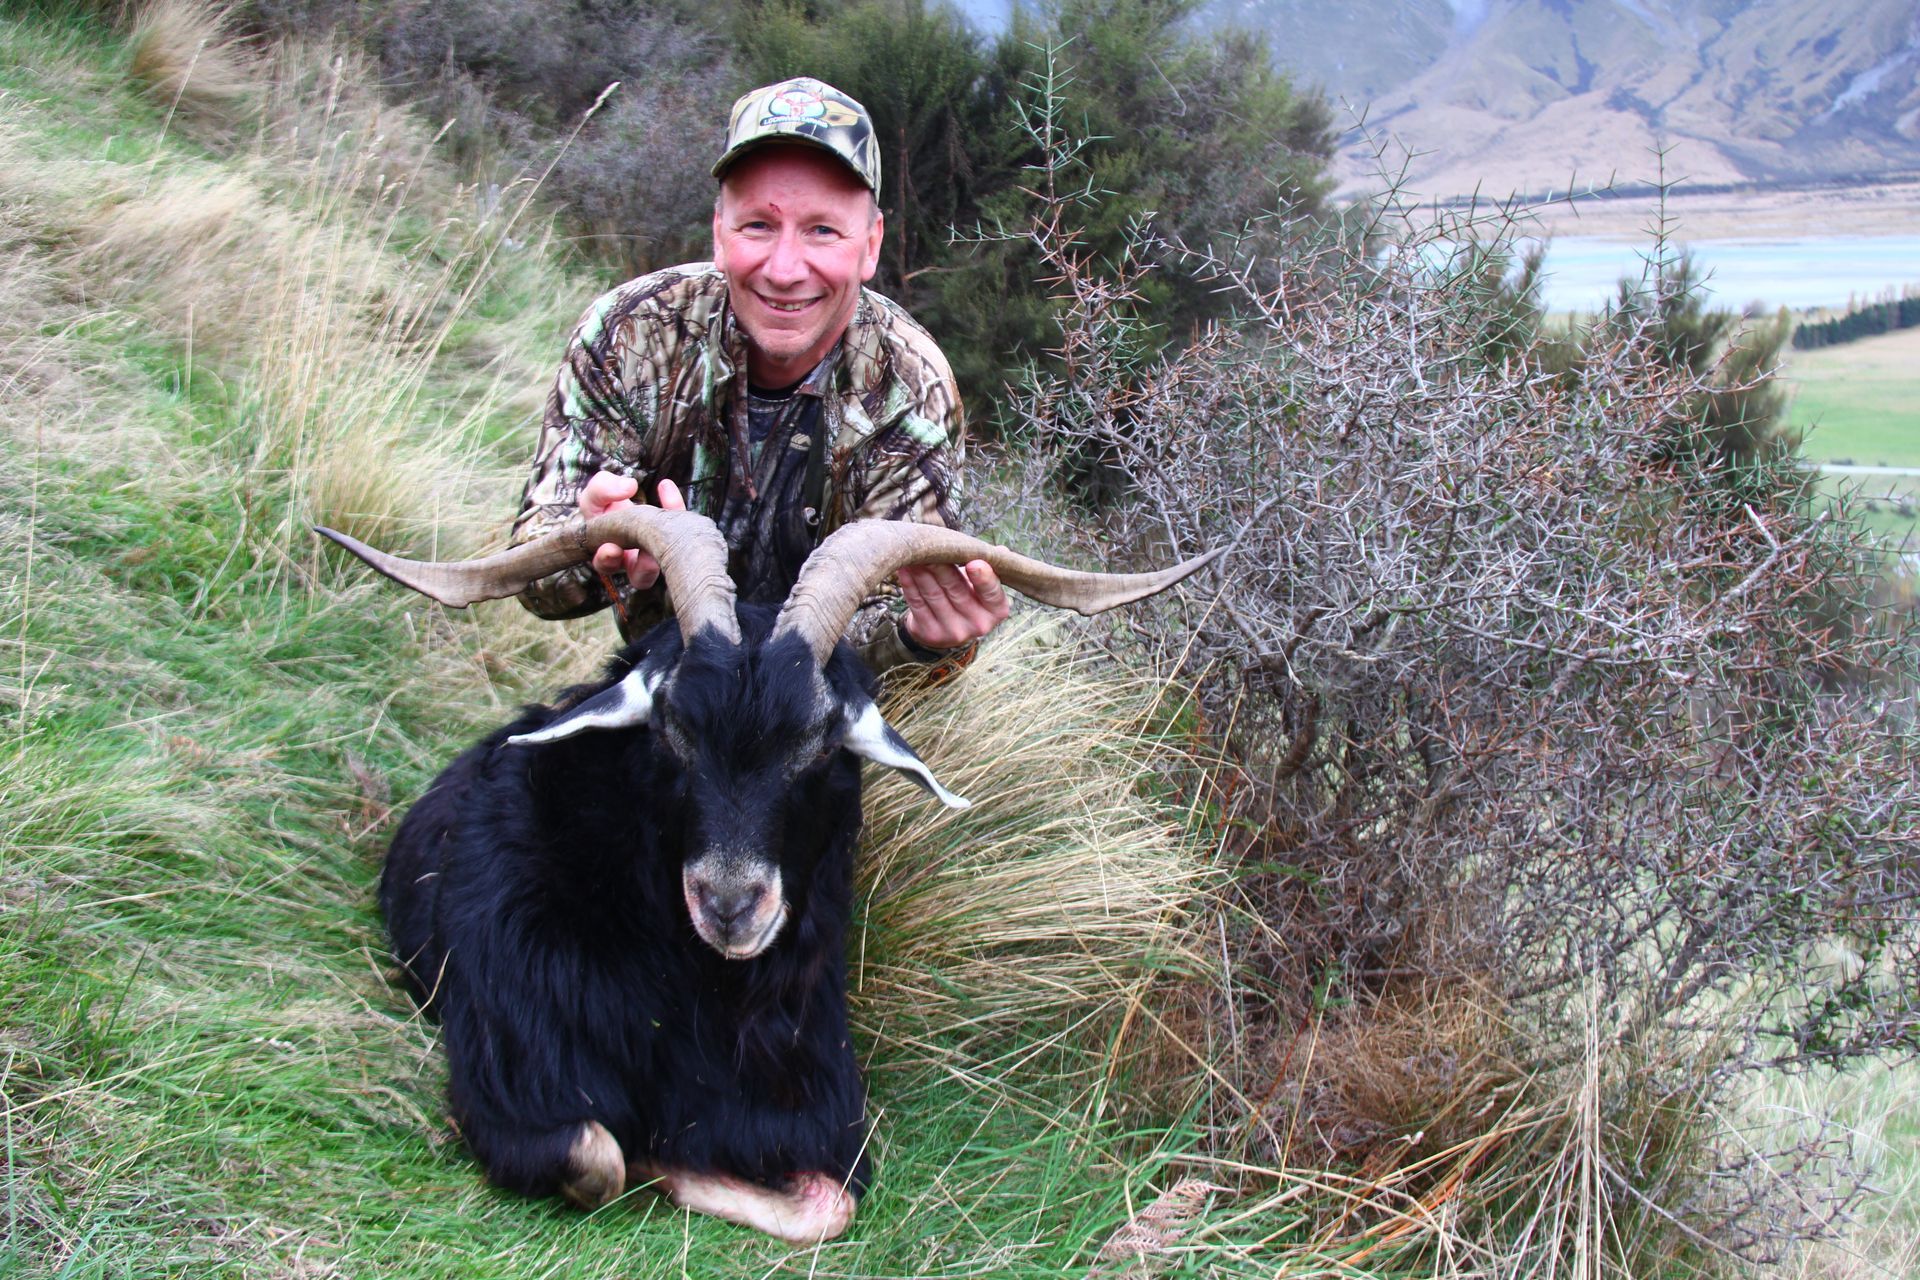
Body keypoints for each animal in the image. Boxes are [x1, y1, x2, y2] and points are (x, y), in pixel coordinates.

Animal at [318, 511, 1217, 1243]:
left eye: (820, 742)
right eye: (672, 726)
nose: (728, 905)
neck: (700, 992)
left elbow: (828, 1204)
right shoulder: (508, 1085)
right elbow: (602, 1153)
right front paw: (659, 1157)